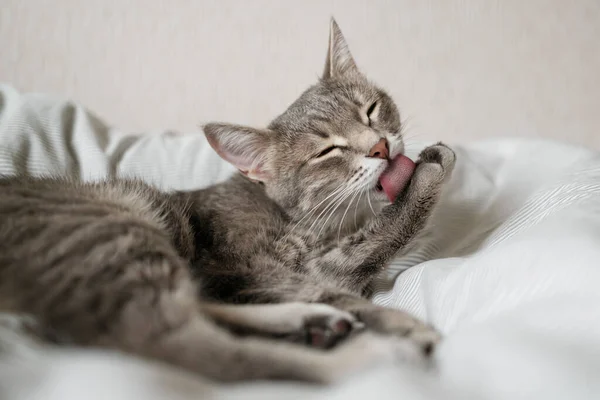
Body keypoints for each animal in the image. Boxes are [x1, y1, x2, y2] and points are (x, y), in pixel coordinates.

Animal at [0, 19, 452, 384]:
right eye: (327, 151)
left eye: (370, 110)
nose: (380, 147)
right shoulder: (251, 266)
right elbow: (354, 262)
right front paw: (428, 176)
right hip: (120, 228)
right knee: (186, 347)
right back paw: (371, 352)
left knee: (201, 312)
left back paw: (312, 324)